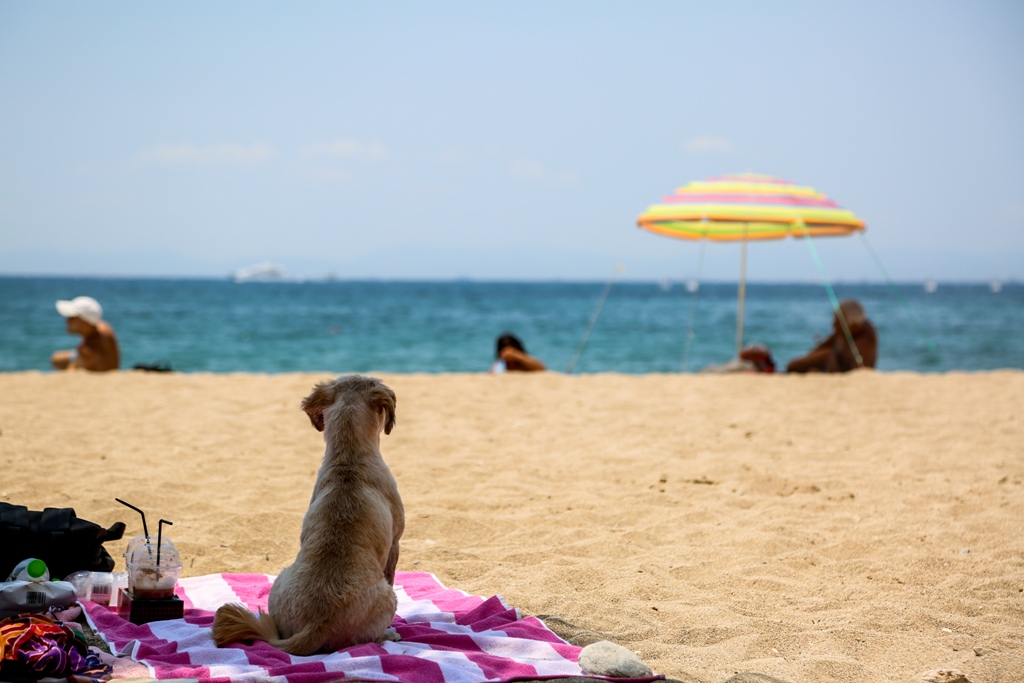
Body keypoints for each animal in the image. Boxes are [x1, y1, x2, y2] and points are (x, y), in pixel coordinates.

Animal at [212, 376, 403, 655]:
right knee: (367, 638)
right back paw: (387, 634)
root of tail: (318, 623)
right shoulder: (395, 544)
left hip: (279, 580)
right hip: (388, 597)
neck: (349, 459)